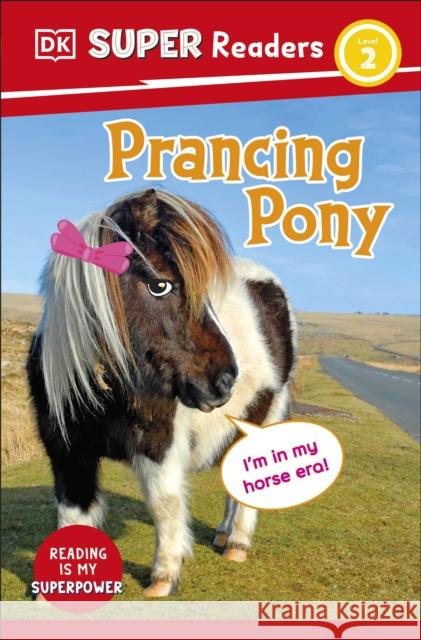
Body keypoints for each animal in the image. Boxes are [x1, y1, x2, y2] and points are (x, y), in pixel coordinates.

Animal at [26, 188, 297, 597]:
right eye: (160, 285)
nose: (224, 380)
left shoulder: (159, 442)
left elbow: (164, 504)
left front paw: (164, 575)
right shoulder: (66, 452)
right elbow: (71, 516)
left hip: (266, 415)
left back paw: (237, 543)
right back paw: (222, 535)